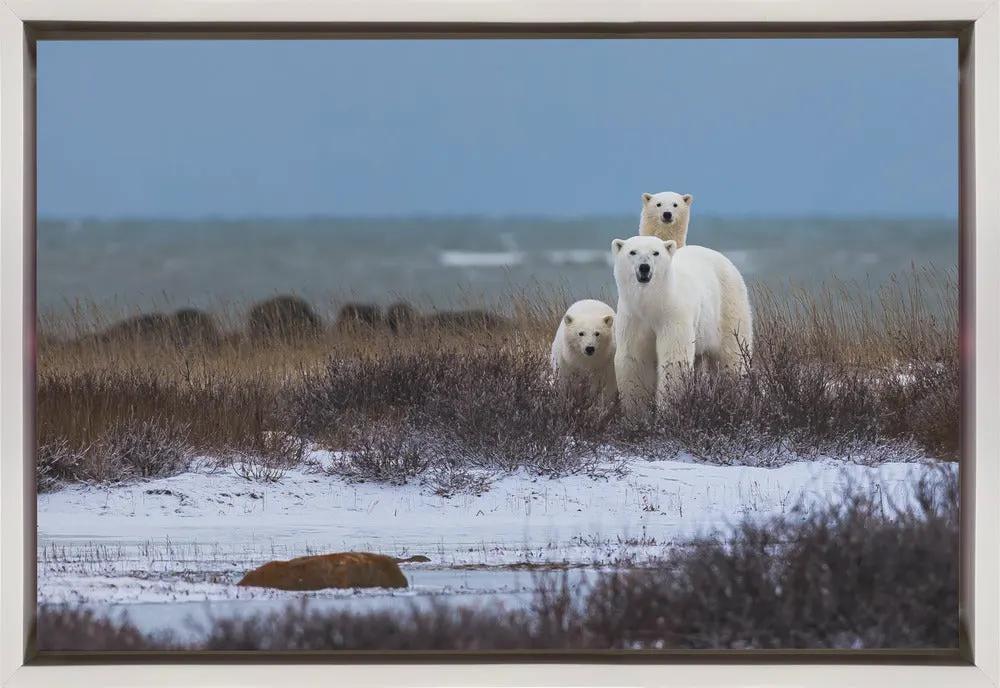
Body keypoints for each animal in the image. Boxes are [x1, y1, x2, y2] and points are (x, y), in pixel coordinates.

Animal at [612, 236, 752, 417]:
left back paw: (735, 396)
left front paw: (667, 410)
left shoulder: (673, 314)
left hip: (728, 305)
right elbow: (634, 358)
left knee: (731, 356)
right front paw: (636, 413)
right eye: (632, 252)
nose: (644, 267)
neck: (652, 301)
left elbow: (674, 358)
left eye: (656, 252)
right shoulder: (632, 317)